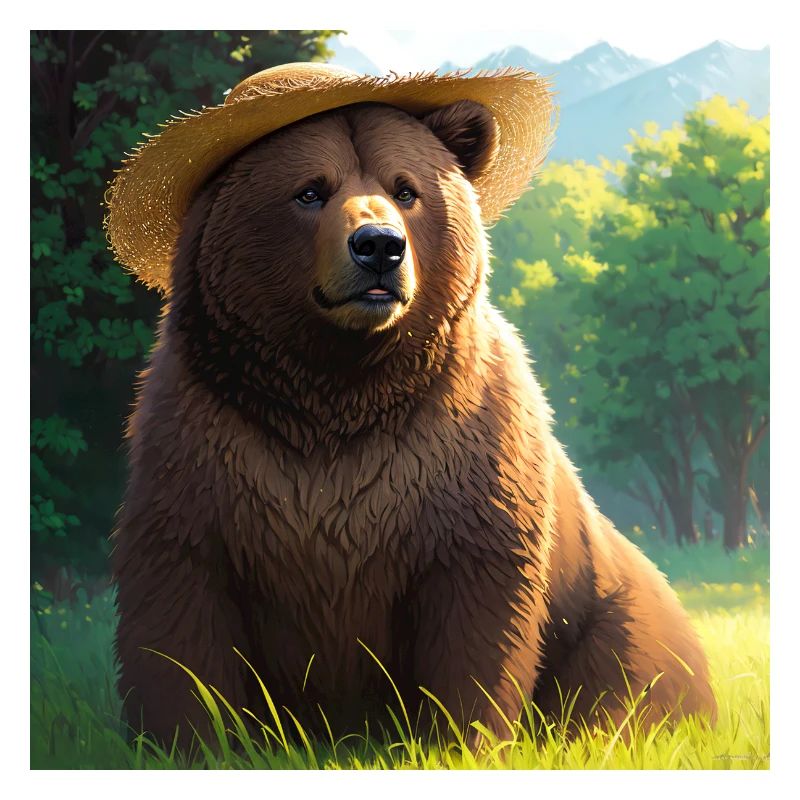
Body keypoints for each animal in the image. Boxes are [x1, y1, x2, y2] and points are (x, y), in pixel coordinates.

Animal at [111, 98, 717, 748]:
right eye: (309, 191)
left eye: (406, 190)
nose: (379, 246)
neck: (337, 388)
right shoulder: (207, 446)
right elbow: (179, 613)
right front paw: (190, 740)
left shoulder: (465, 458)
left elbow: (479, 618)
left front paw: (462, 740)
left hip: (619, 618)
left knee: (626, 688)